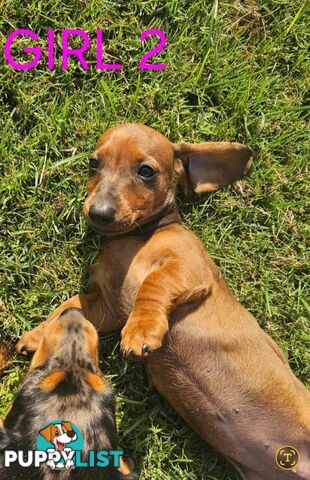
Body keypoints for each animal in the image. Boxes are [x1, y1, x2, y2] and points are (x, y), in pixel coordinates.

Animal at [16, 124, 310, 480]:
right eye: (93, 163)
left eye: (146, 171)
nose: (98, 213)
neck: (136, 238)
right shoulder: (104, 306)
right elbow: (67, 307)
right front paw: (40, 335)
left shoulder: (187, 266)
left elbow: (153, 284)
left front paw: (141, 330)